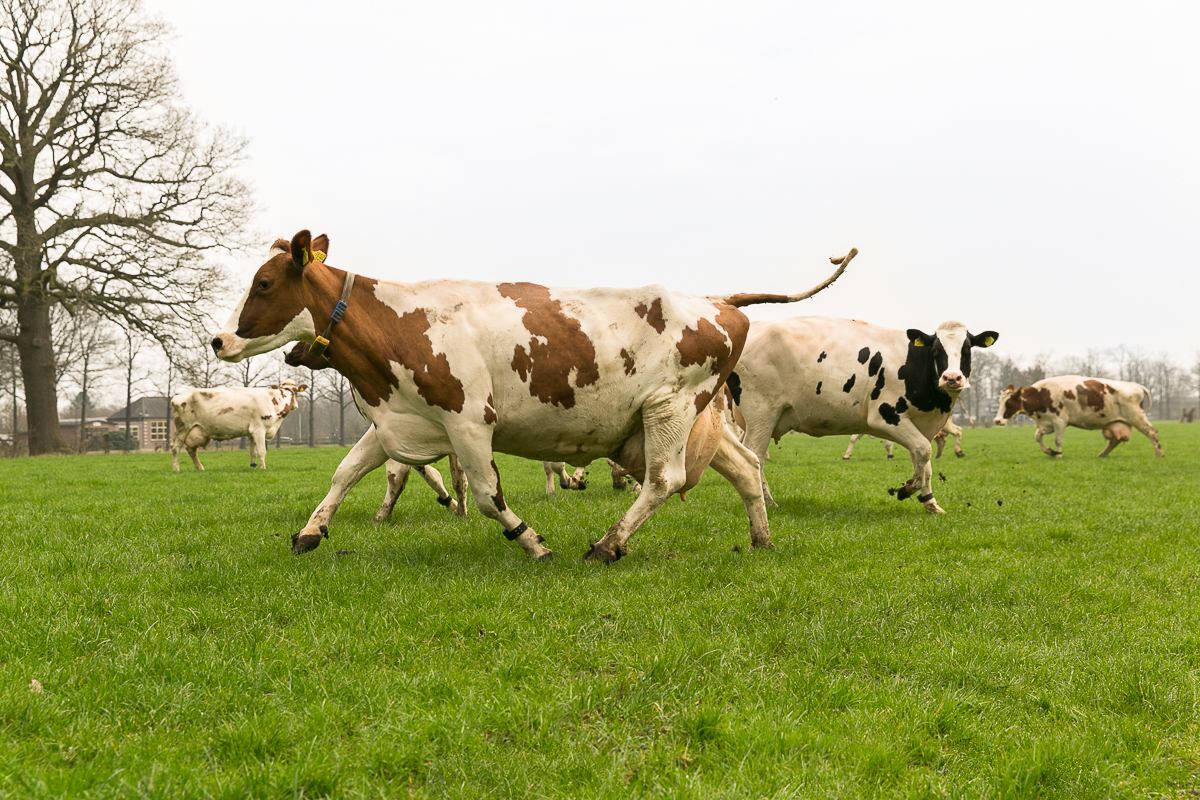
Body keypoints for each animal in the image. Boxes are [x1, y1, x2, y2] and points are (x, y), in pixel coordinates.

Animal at [171, 381, 307, 470]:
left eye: (296, 391)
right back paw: (176, 469)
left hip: (197, 432)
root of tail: (176, 396)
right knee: (175, 448)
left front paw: (252, 466)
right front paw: (263, 467)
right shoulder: (259, 430)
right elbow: (262, 451)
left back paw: (200, 468)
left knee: (191, 450)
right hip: (182, 428)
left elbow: (253, 452)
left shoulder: (252, 433)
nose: (296, 406)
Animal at [213, 227, 854, 561]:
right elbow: (345, 473)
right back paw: (761, 540)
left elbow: (488, 494)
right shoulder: (399, 418)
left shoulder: (469, 420)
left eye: (264, 283)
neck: (403, 323)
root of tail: (718, 300)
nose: (220, 340)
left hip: (668, 407)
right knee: (746, 468)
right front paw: (311, 531)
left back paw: (607, 545)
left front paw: (530, 541)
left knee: (662, 482)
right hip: (696, 422)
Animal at [729, 316, 993, 513]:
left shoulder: (920, 425)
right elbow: (923, 452)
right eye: (937, 350)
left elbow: (923, 462)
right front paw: (907, 490)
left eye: (967, 349)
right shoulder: (886, 417)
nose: (952, 378)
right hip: (762, 413)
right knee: (754, 455)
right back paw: (766, 502)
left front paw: (929, 502)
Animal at [993, 379, 1161, 460]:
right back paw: (1101, 455)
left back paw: (1159, 454)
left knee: (1152, 432)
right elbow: (1037, 437)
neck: (1042, 394)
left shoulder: (1060, 421)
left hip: (1137, 417)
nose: (997, 421)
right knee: (1114, 441)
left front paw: (1058, 455)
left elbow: (1058, 440)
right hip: (1115, 422)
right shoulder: (1047, 423)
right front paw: (1049, 451)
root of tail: (1135, 385)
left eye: (1009, 403)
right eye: (999, 402)